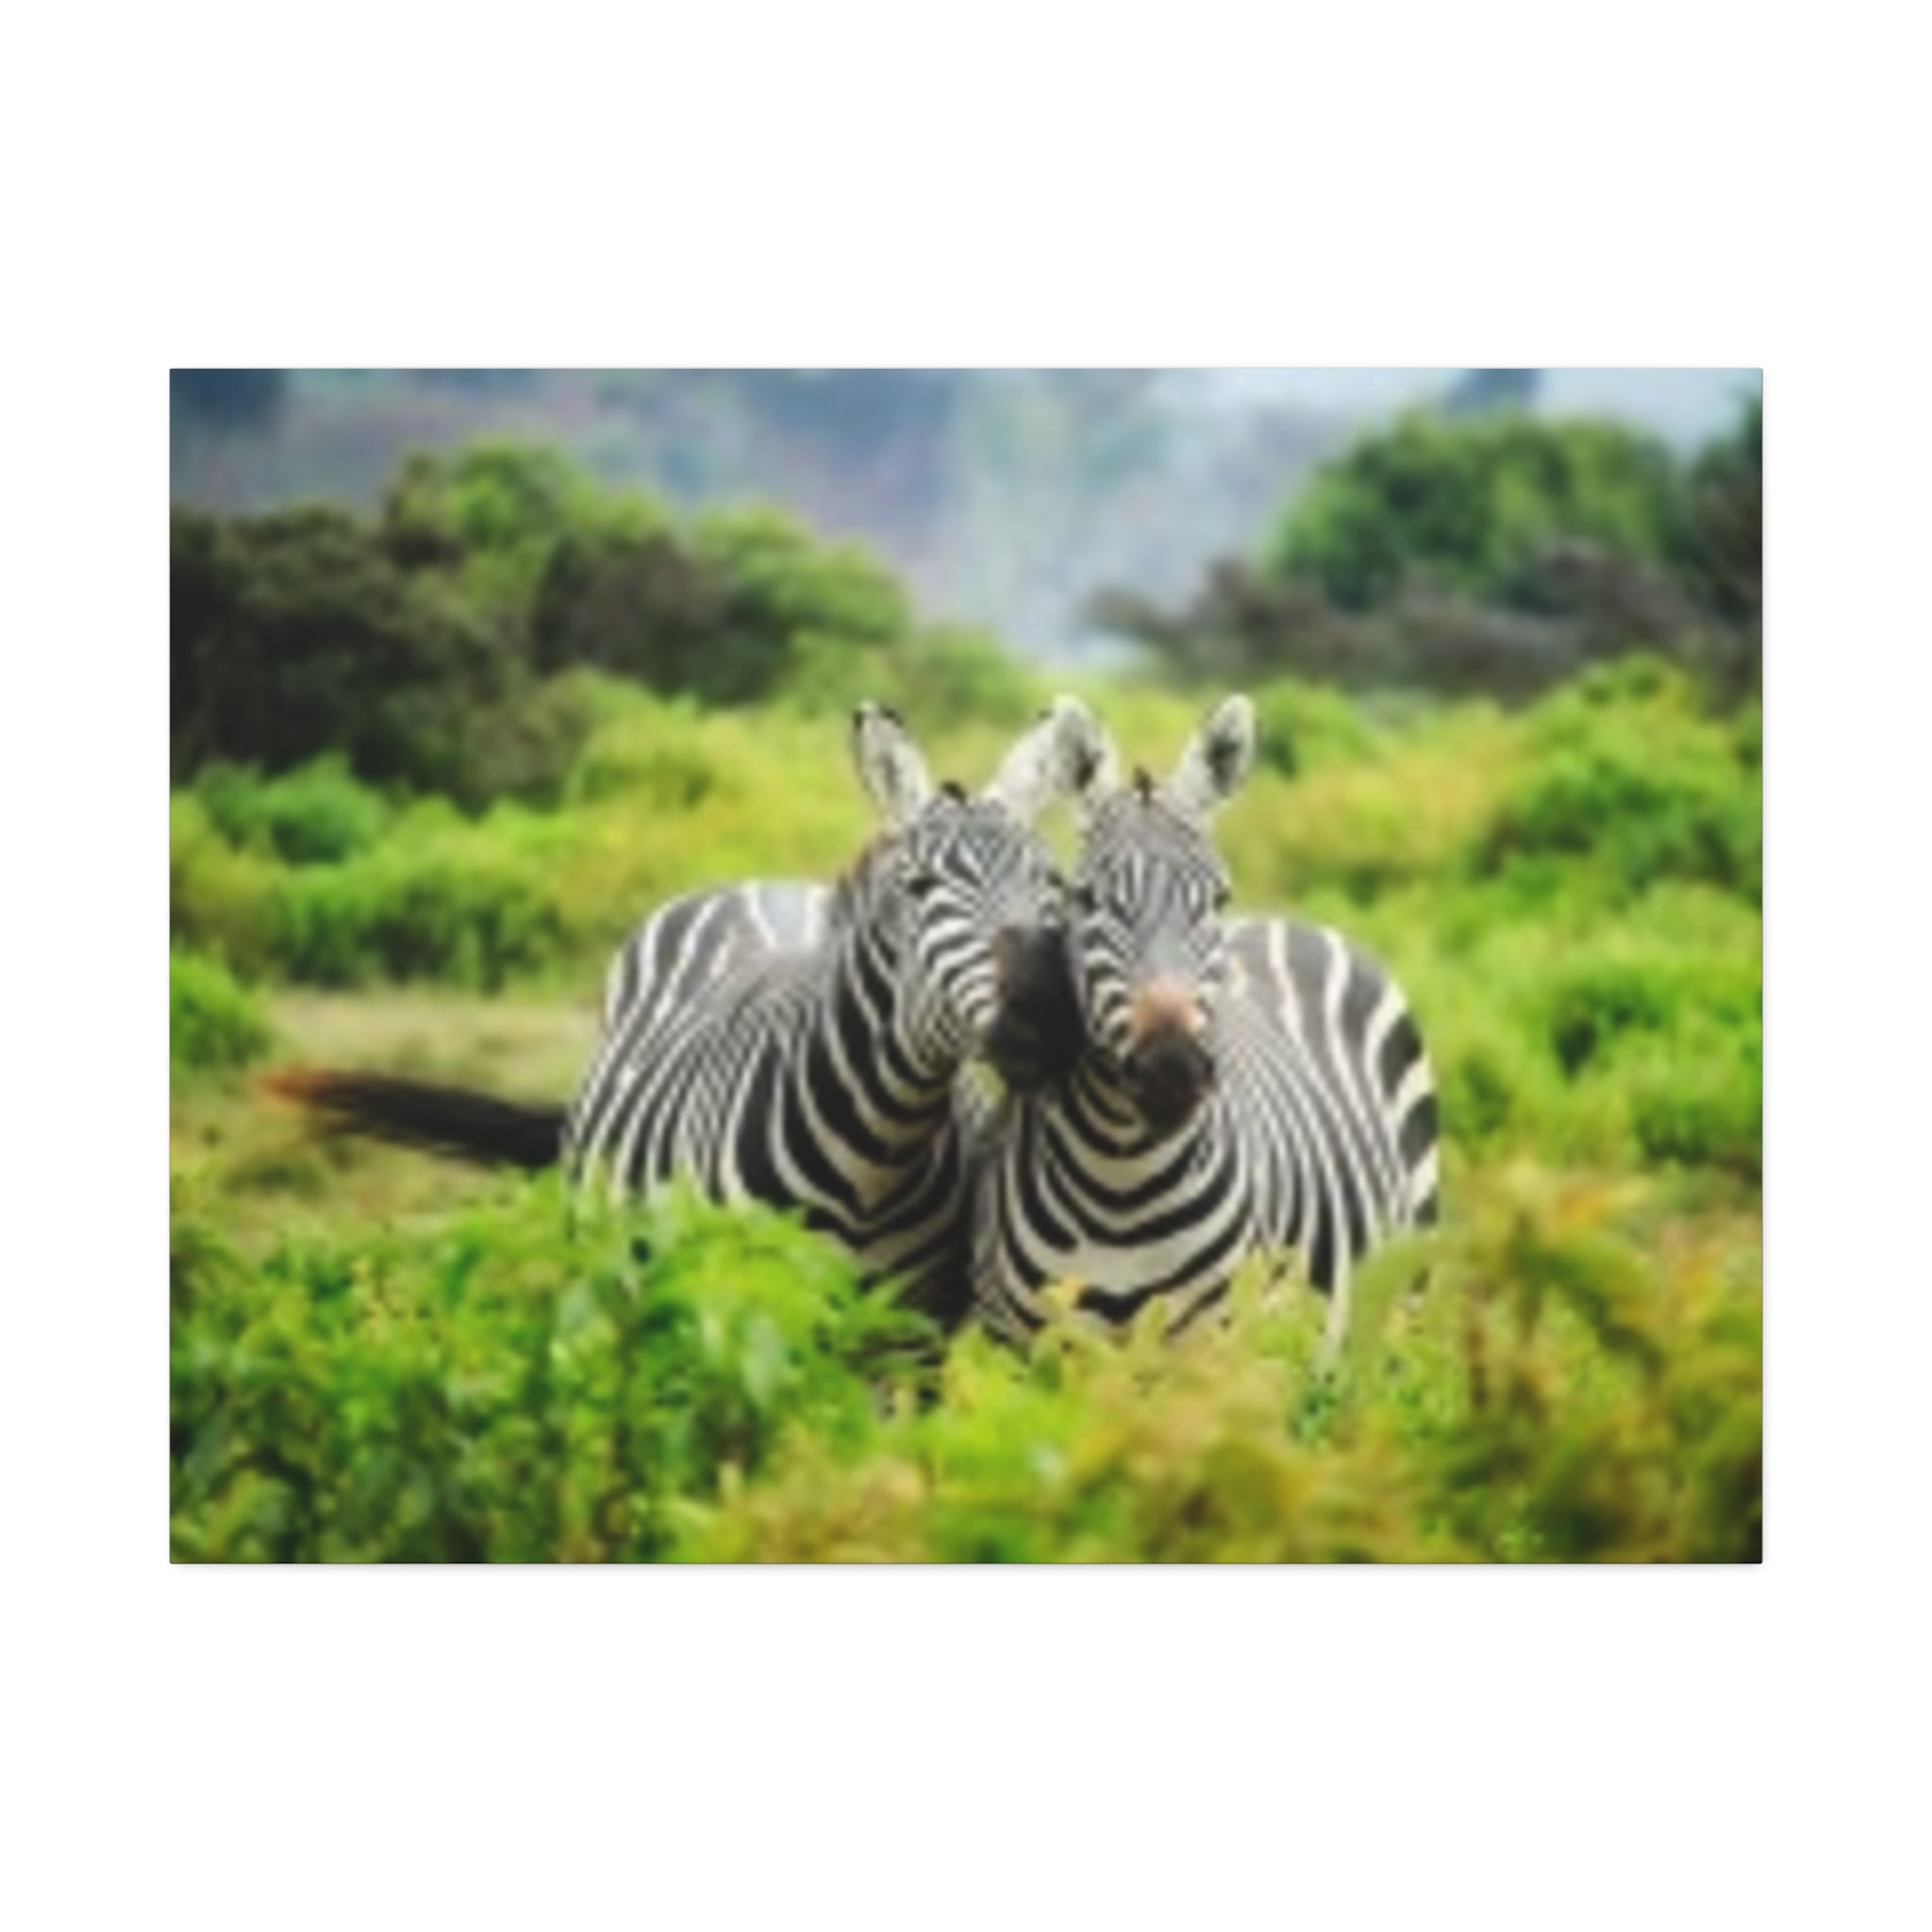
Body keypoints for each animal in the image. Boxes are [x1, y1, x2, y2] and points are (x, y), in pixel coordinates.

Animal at [275, 699, 1103, 1327]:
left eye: (1055, 885)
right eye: (921, 888)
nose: (1048, 1018)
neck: (875, 1154)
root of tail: (757, 883)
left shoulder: (913, 1335)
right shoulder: (741, 1312)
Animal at [969, 695, 1440, 1356]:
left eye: (1218, 899)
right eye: (1086, 899)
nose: (1172, 1068)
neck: (1121, 1186)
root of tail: (1288, 922)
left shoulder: (1215, 1346)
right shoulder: (1018, 1347)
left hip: (1400, 1304)